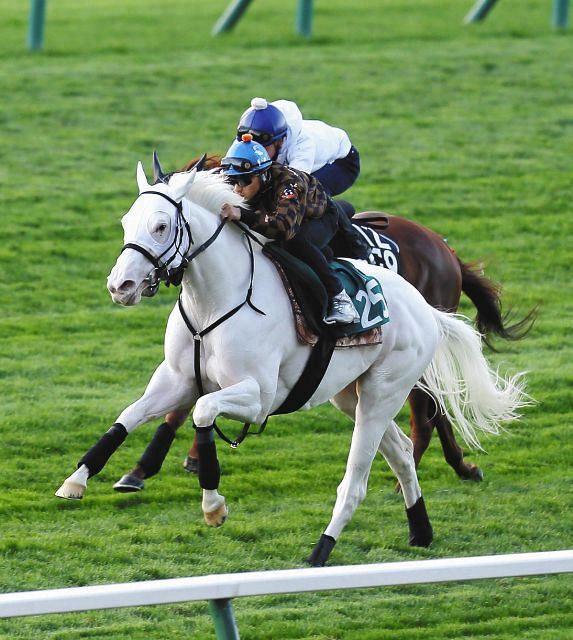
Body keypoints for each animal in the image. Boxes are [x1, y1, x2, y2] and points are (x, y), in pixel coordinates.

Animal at [54, 160, 528, 564]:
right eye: (126, 222)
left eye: (161, 225)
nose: (121, 285)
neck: (215, 303)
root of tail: (426, 307)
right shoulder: (176, 380)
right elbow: (128, 417)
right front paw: (78, 479)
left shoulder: (258, 396)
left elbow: (203, 413)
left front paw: (213, 504)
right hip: (349, 394)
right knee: (402, 450)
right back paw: (421, 530)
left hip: (384, 391)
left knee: (362, 474)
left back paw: (322, 549)